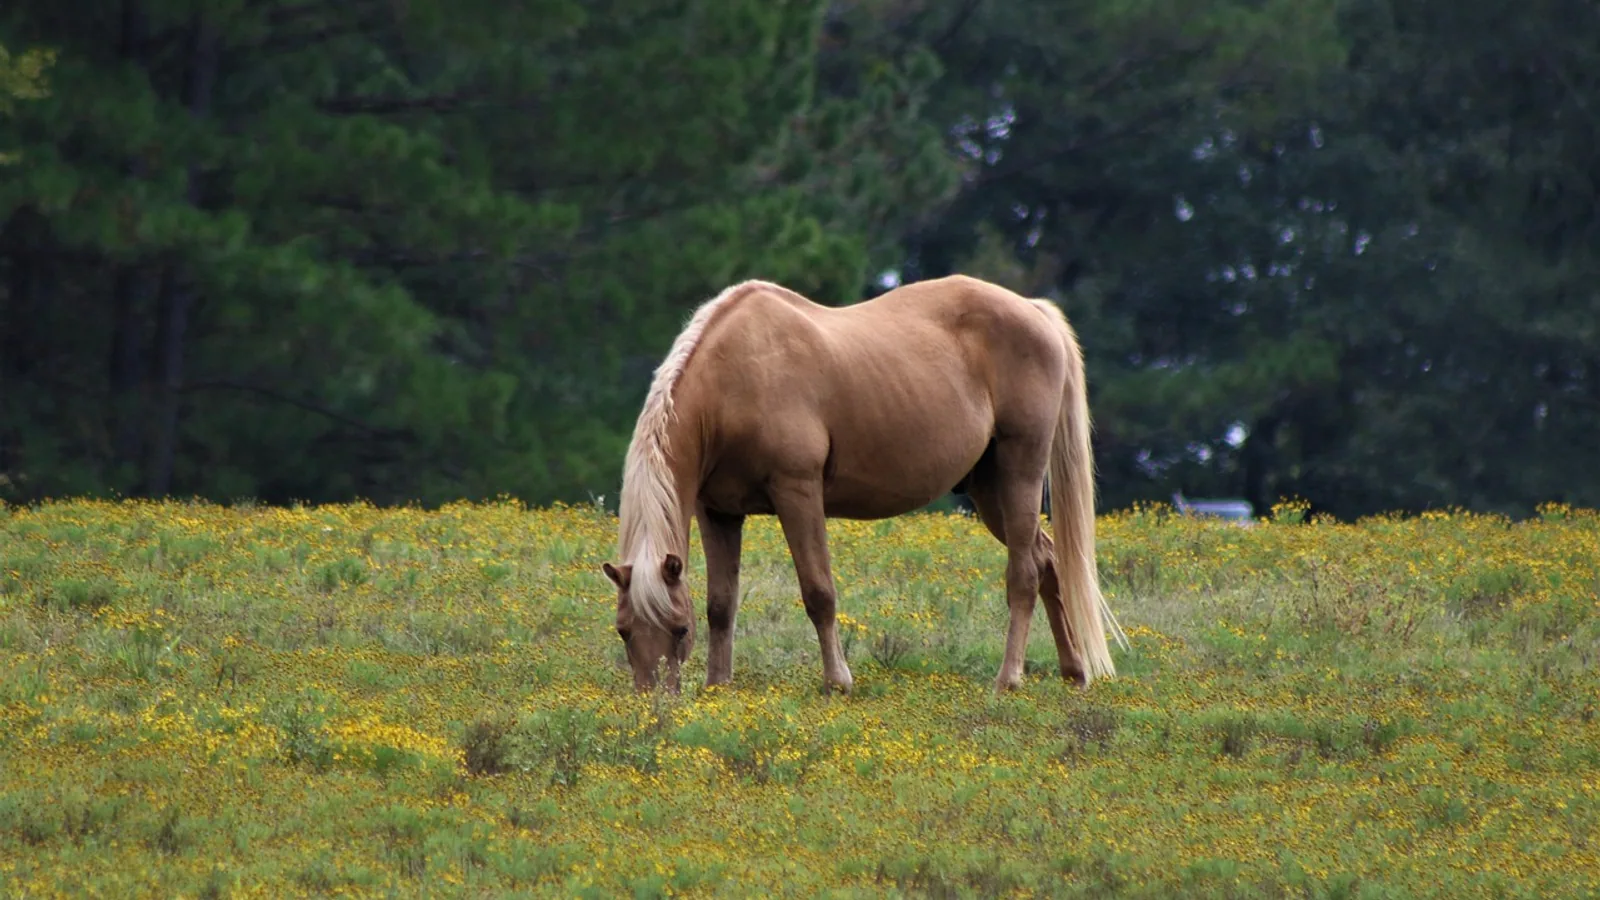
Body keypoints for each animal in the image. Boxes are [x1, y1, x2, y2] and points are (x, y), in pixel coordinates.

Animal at [601, 274, 1128, 695]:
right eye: (624, 630)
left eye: (677, 629)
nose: (653, 700)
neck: (734, 379)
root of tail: (1035, 311)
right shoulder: (719, 512)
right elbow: (720, 604)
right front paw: (718, 686)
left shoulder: (798, 492)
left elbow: (819, 592)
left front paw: (837, 682)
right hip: (988, 489)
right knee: (1047, 561)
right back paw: (1073, 673)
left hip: (1020, 472)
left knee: (1023, 574)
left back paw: (1009, 679)